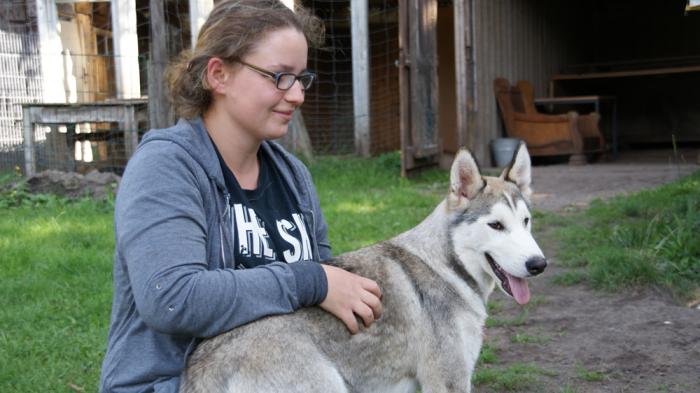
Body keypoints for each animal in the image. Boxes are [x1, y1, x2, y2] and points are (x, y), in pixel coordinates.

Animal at [180, 143, 548, 392]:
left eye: (526, 222)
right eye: (496, 225)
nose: (538, 264)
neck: (446, 266)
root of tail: (203, 363)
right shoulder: (448, 381)